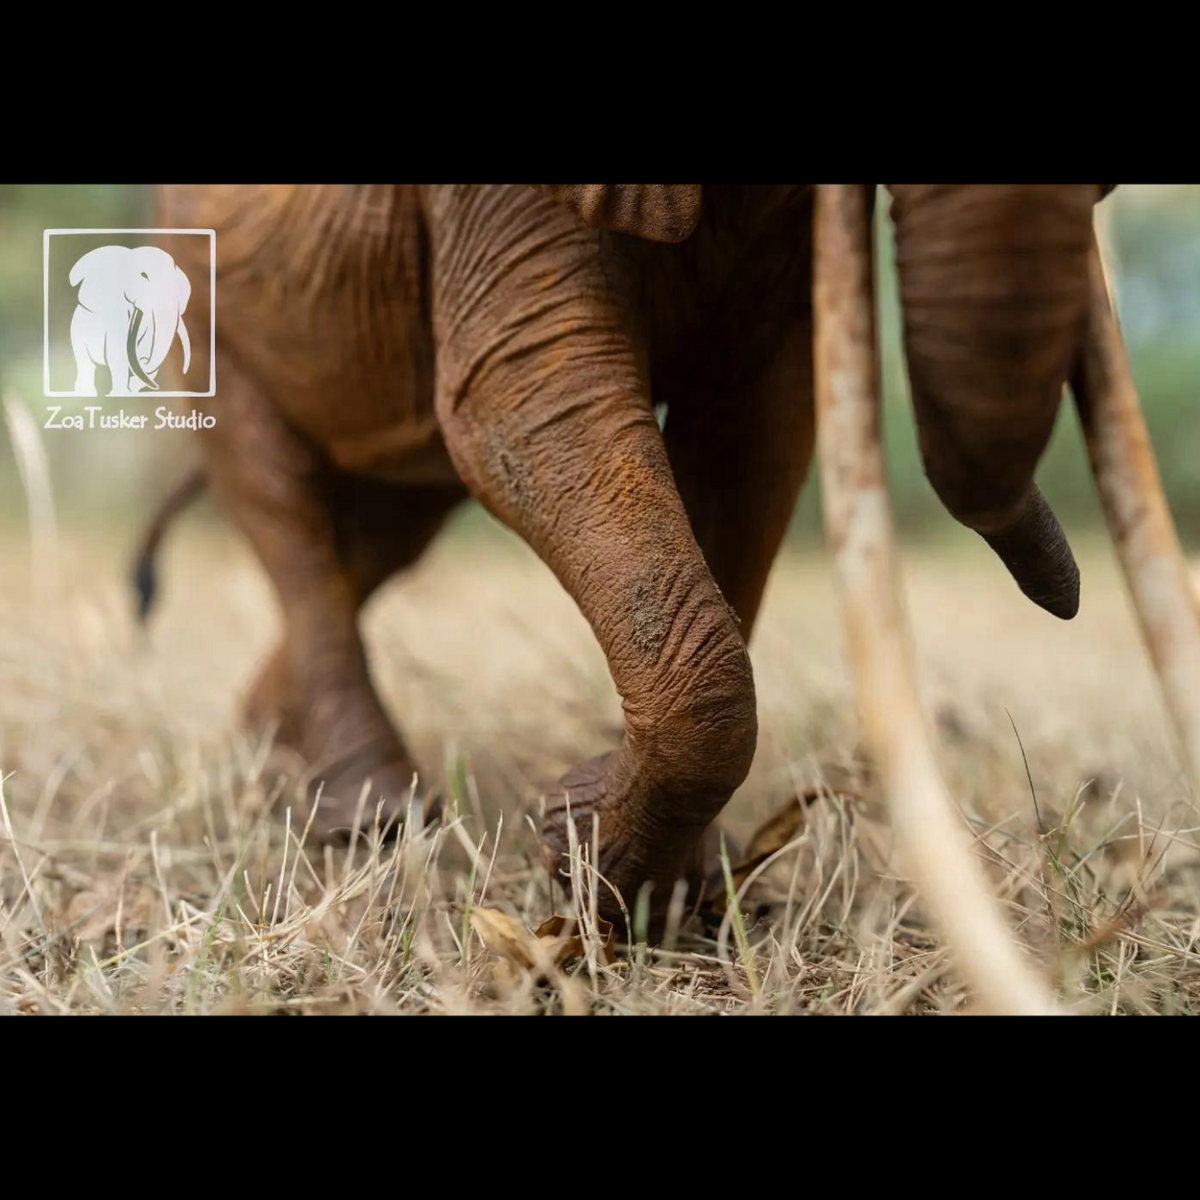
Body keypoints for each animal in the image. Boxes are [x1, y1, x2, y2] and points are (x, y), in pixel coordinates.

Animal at [137, 185, 1200, 1006]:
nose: (1062, 595)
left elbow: (755, 428)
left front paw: (656, 882)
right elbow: (529, 399)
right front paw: (584, 855)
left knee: (382, 536)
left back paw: (275, 743)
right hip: (208, 302)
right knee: (287, 509)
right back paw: (370, 818)